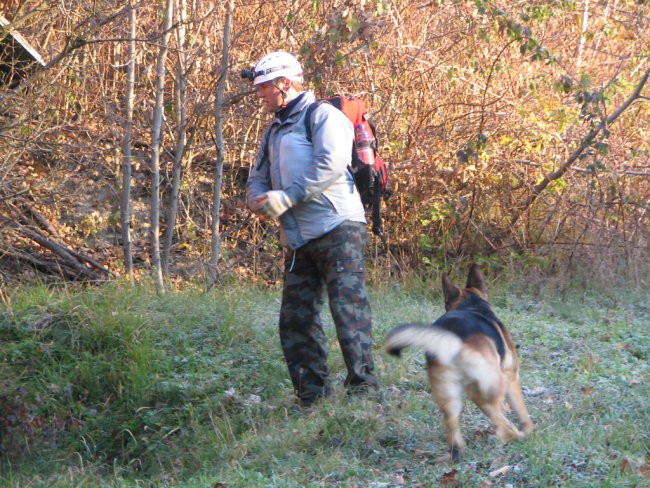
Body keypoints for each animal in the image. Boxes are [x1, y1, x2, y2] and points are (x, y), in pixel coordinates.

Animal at [382, 264, 528, 460]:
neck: (472, 306)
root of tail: (454, 340)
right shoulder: (512, 377)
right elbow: (522, 411)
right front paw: (529, 429)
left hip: (448, 396)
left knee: (455, 432)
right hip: (487, 388)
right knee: (501, 421)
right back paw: (517, 436)